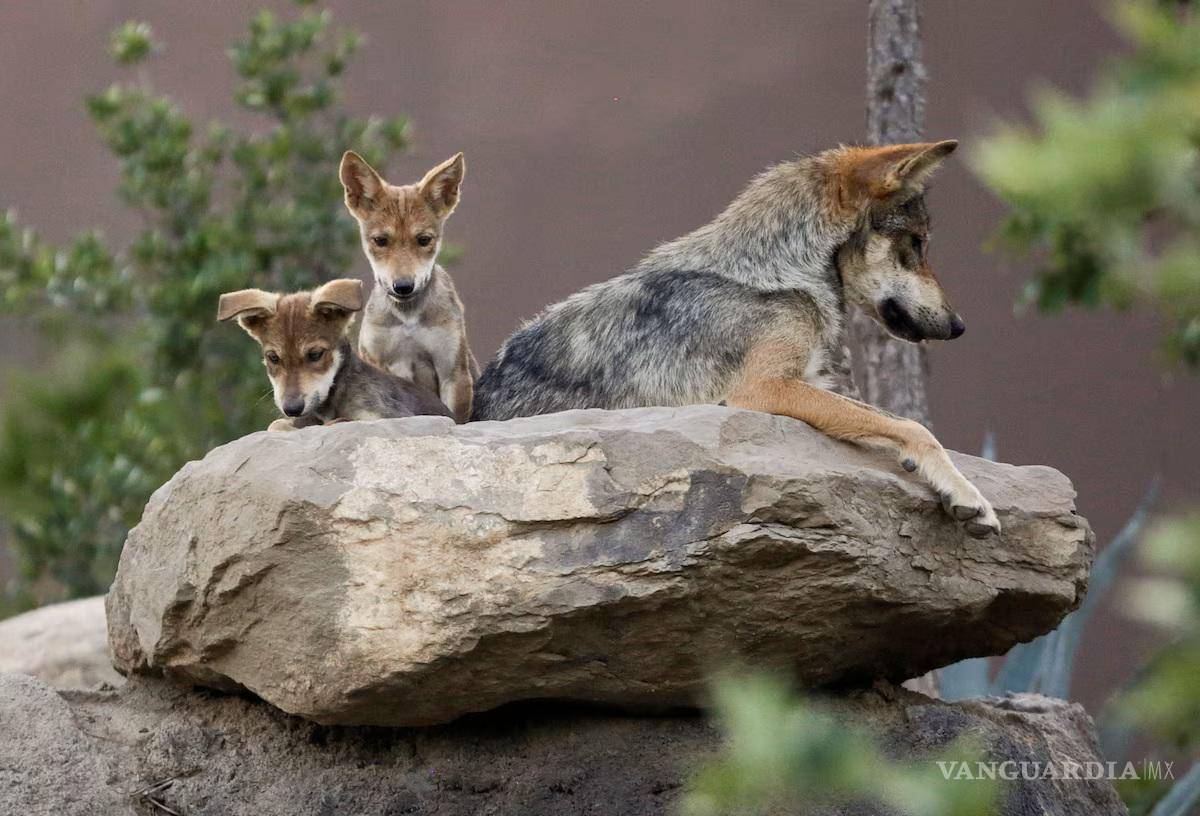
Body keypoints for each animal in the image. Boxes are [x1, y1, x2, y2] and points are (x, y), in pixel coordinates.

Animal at [217, 278, 452, 430]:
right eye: (273, 358)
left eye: (315, 354)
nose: (292, 409)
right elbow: (277, 425)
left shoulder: (390, 416)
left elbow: (337, 422)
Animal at [339, 150, 479, 423]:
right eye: (380, 241)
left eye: (424, 240)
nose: (403, 286)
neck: (408, 320)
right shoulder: (380, 363)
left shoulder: (452, 372)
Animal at [472, 140, 999, 537]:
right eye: (917, 244)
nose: (959, 326)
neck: (774, 270)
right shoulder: (763, 390)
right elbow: (915, 427)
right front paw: (970, 496)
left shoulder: (815, 382)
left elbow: (894, 420)